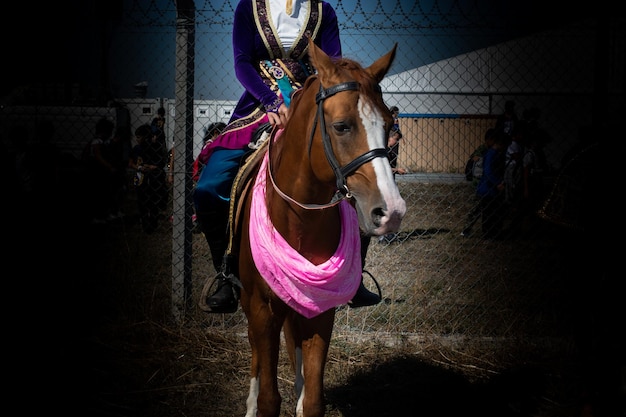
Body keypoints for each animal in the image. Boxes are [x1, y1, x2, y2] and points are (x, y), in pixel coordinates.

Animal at [232, 39, 402, 416]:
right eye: (341, 126)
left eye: (387, 124)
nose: (392, 212)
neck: (299, 219)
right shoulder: (263, 309)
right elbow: (268, 398)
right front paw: (258, 402)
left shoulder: (320, 311)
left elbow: (312, 399)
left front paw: (301, 400)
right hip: (250, 302)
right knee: (254, 349)